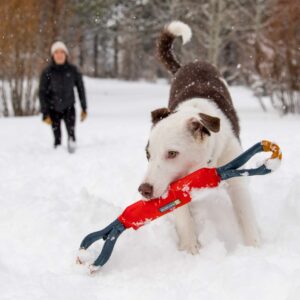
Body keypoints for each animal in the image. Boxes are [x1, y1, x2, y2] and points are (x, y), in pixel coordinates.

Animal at [138, 20, 260, 253]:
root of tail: (190, 64)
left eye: (172, 153)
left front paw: (255, 246)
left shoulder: (235, 175)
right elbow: (182, 216)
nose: (144, 190)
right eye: (148, 155)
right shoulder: (174, 187)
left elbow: (246, 214)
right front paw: (189, 248)